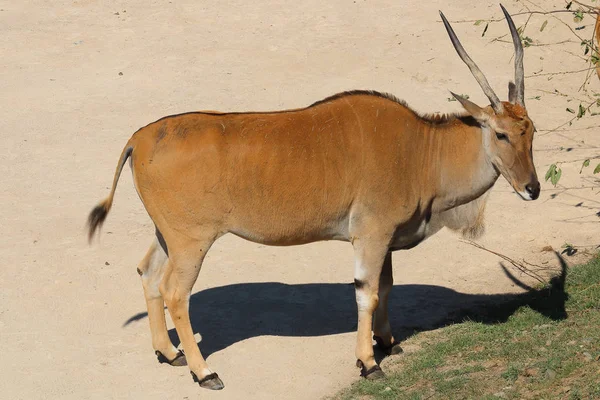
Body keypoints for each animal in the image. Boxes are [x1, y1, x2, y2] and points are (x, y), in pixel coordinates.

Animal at [88, 4, 540, 390]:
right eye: (500, 134)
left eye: (531, 131)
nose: (532, 189)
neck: (420, 149)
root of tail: (140, 138)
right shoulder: (371, 236)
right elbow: (367, 292)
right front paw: (368, 362)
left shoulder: (383, 240)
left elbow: (387, 286)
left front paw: (387, 343)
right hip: (191, 242)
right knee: (175, 293)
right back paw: (205, 372)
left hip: (168, 236)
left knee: (148, 274)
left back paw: (170, 353)